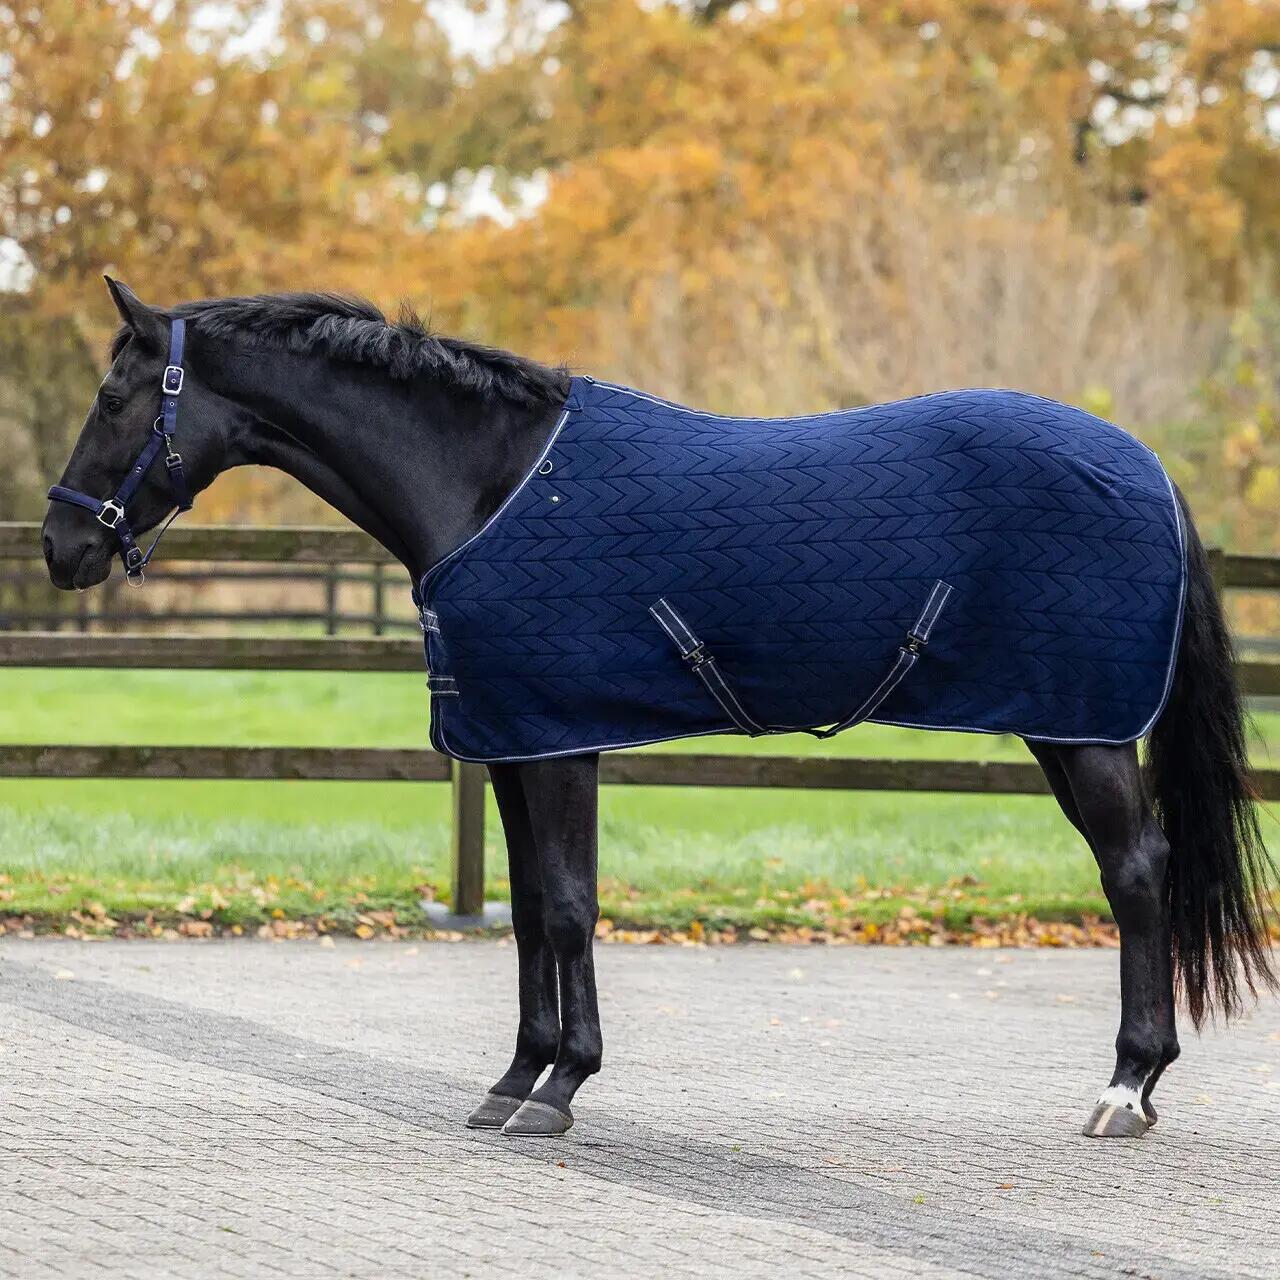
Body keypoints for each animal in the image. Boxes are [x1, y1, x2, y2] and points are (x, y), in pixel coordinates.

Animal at [42, 278, 1276, 1140]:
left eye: (113, 398)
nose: (61, 546)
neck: (488, 483)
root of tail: (1146, 467)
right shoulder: (509, 744)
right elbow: (529, 912)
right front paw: (513, 1079)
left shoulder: (560, 741)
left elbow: (569, 907)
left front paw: (560, 1087)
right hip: (1067, 728)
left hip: (1081, 728)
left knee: (1136, 874)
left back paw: (1124, 1086)